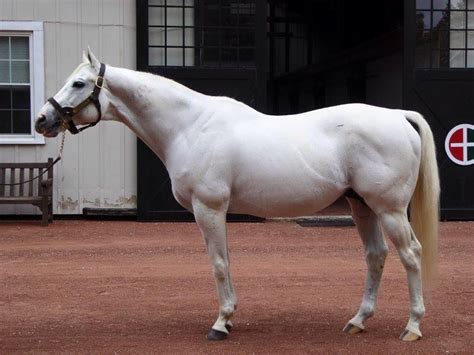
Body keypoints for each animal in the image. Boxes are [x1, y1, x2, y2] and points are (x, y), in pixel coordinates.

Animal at [35, 48, 438, 344]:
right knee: (376, 256)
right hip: (362, 206)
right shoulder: (217, 211)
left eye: (79, 82)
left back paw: (413, 327)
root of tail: (398, 115)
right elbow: (225, 261)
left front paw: (220, 323)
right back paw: (357, 320)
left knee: (410, 254)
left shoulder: (208, 208)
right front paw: (228, 318)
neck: (190, 127)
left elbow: (218, 264)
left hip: (388, 209)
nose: (42, 120)